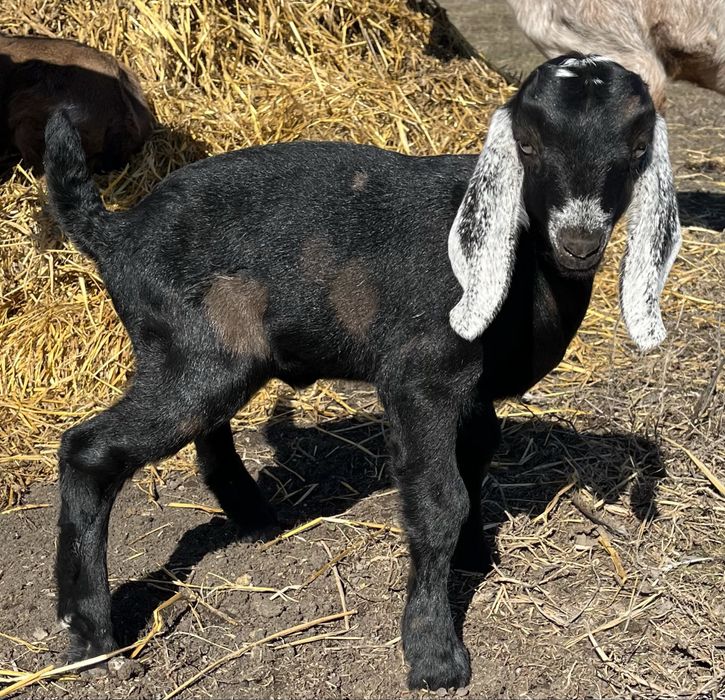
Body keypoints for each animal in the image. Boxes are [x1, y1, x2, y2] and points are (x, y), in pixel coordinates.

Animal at [42, 54, 680, 690]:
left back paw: (256, 519)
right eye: (527, 143)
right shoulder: (419, 379)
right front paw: (434, 654)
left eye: (638, 146)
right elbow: (439, 501)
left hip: (208, 356)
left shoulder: (472, 393)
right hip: (189, 351)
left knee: (207, 432)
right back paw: (93, 635)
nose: (579, 240)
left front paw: (476, 554)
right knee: (89, 450)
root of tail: (117, 233)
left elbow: (477, 460)